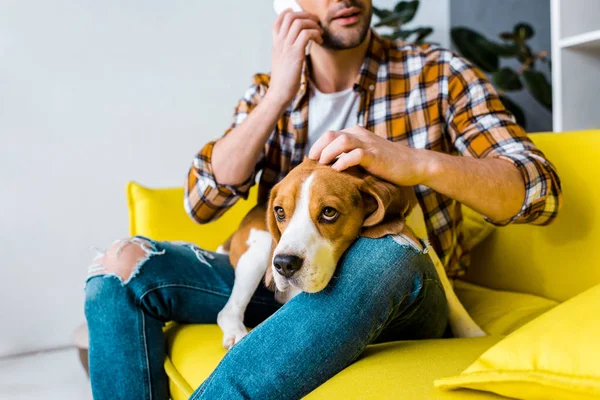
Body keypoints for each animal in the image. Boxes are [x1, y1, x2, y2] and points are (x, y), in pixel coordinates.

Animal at [216, 158, 482, 348]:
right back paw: (237, 334)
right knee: (227, 311)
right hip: (259, 252)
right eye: (280, 211)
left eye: (329, 212)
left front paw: (473, 333)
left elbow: (451, 295)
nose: (283, 264)